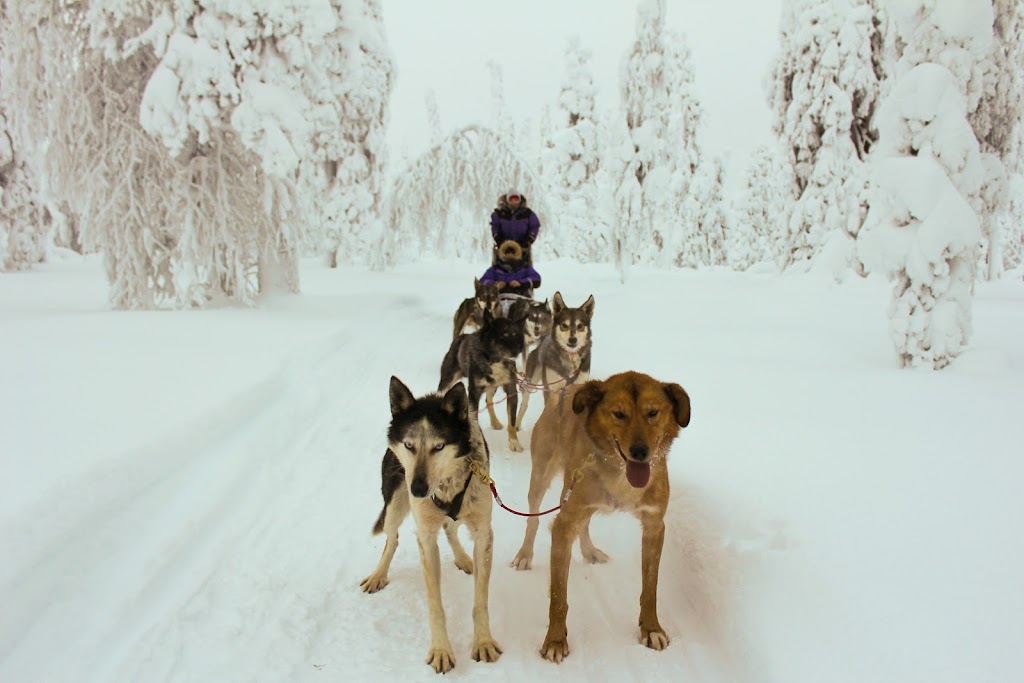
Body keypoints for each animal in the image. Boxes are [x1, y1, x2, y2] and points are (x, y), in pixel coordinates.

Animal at [362, 378, 501, 671]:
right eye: (409, 445)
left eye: (439, 447)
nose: (417, 489)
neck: (446, 485)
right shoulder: (426, 537)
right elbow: (435, 604)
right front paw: (441, 649)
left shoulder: (483, 533)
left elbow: (480, 601)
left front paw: (483, 641)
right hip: (394, 505)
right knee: (392, 539)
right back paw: (379, 574)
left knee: (450, 528)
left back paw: (463, 558)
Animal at [509, 370, 692, 663]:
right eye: (619, 414)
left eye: (653, 413)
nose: (640, 452)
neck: (619, 474)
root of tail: (567, 389)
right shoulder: (563, 525)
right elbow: (558, 597)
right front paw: (555, 639)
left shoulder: (654, 526)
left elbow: (650, 589)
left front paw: (651, 628)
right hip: (542, 478)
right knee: (533, 519)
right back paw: (525, 554)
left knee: (584, 523)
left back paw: (589, 550)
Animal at [516, 290, 598, 430]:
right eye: (564, 325)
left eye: (580, 326)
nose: (573, 340)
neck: (570, 361)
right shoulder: (551, 391)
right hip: (530, 382)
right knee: (523, 405)